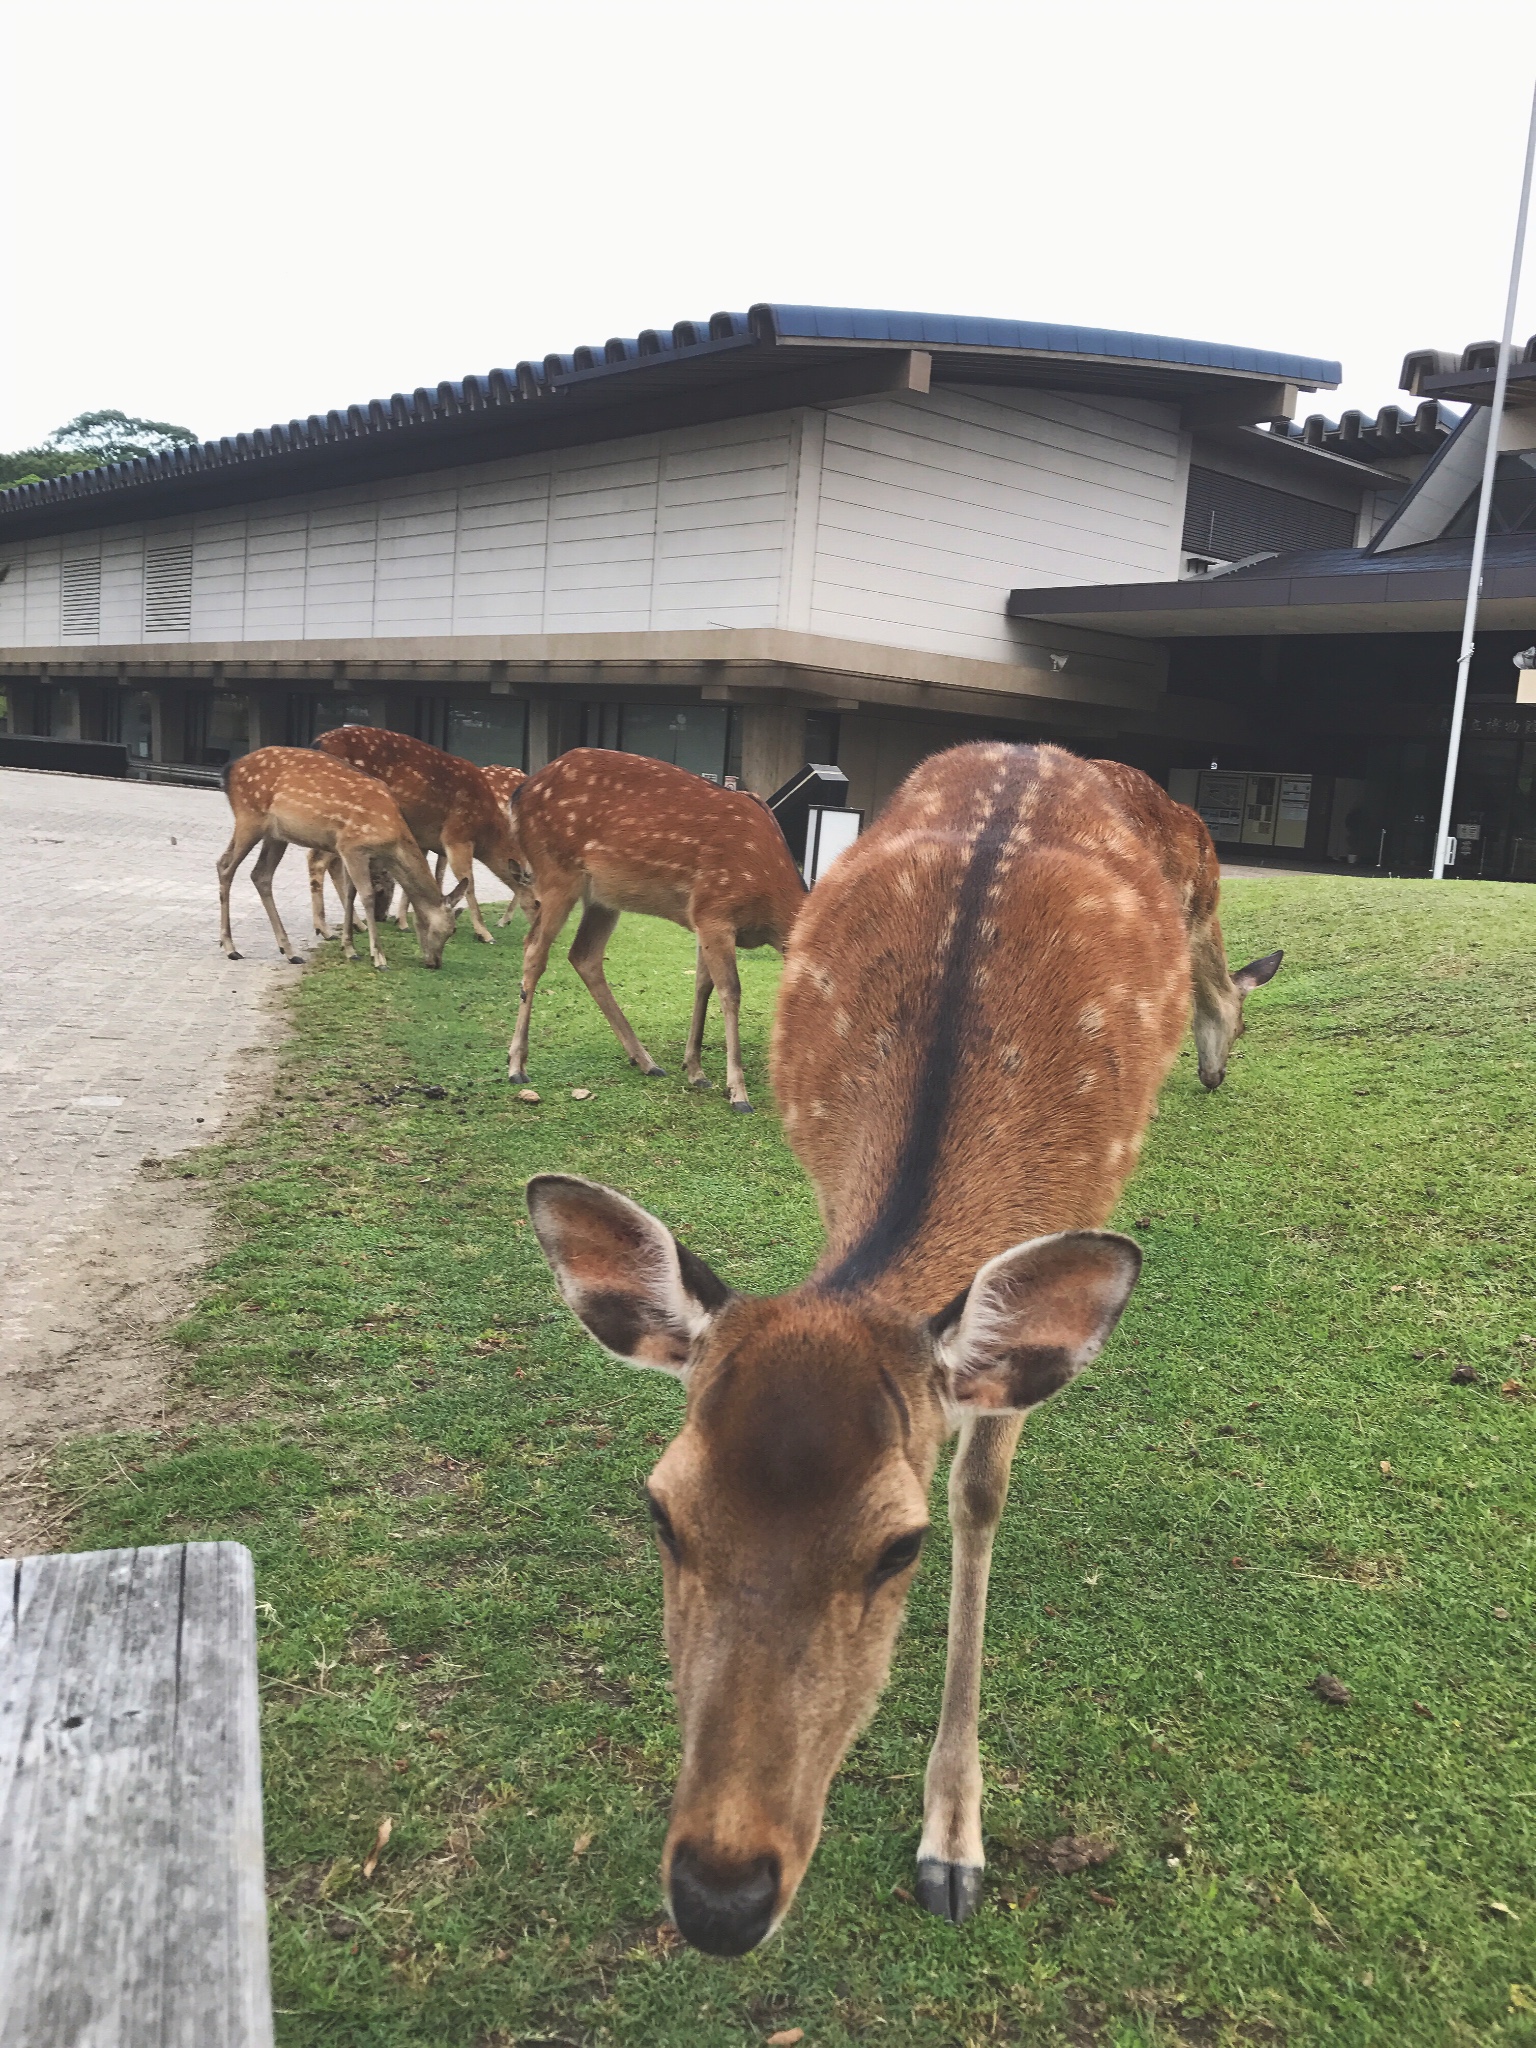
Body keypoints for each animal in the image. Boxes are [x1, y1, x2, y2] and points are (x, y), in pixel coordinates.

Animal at [218, 749, 462, 970]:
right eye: (451, 929)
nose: (435, 963)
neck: (392, 838)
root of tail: (229, 770)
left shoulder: (348, 853)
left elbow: (350, 893)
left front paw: (350, 949)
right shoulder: (353, 847)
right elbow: (366, 896)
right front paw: (379, 958)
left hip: (276, 835)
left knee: (260, 874)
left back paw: (289, 952)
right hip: (249, 817)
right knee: (225, 866)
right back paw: (230, 947)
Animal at [307, 724, 536, 937]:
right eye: (537, 903)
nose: (381, 917)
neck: (485, 831)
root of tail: (318, 741)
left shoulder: (426, 839)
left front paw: (404, 921)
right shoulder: (456, 836)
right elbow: (466, 882)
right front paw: (483, 933)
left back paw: (353, 925)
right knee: (318, 860)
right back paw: (326, 929)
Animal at [512, 749, 811, 1114]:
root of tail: (521, 792)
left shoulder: (703, 920)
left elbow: (702, 986)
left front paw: (695, 1071)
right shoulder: (715, 910)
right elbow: (730, 992)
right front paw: (738, 1093)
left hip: (603, 897)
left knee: (583, 955)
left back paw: (646, 1061)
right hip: (557, 873)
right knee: (534, 948)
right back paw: (517, 1067)